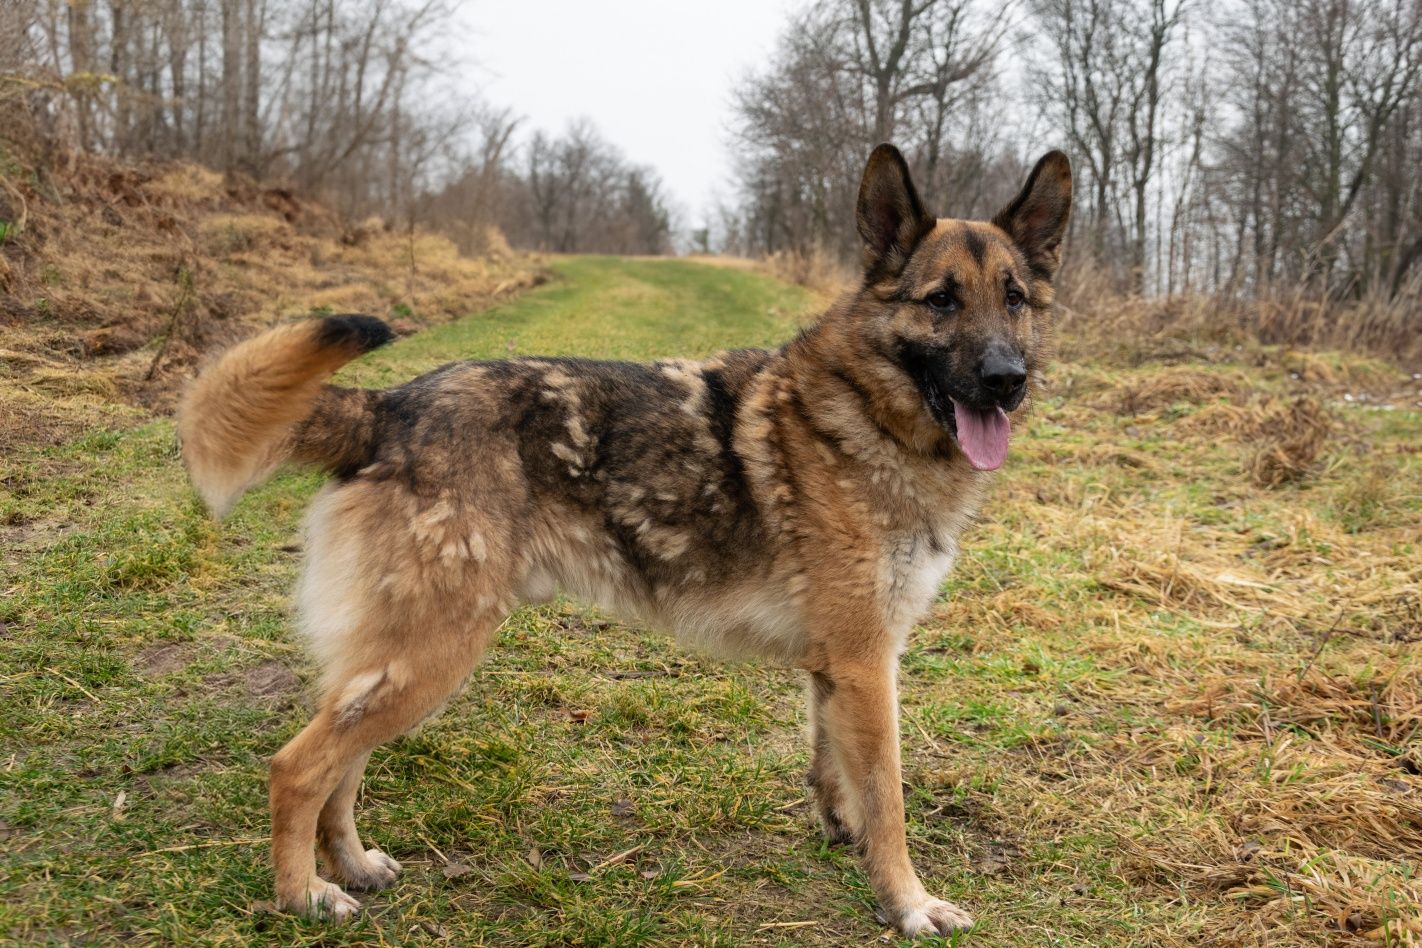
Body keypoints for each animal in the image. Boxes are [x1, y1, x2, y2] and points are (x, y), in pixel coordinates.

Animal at [177, 144, 1069, 938]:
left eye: (1014, 298)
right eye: (941, 300)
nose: (1006, 379)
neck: (864, 411)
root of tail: (387, 406)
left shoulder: (840, 668)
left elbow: (837, 777)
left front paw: (848, 846)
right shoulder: (865, 664)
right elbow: (889, 800)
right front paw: (908, 902)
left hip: (399, 660)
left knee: (341, 765)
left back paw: (352, 865)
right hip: (432, 653)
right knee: (297, 769)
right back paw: (303, 895)